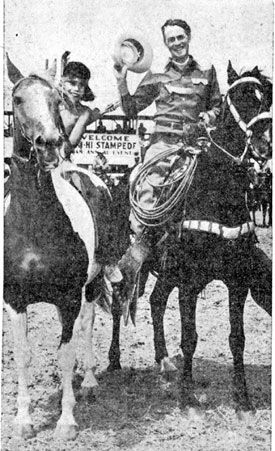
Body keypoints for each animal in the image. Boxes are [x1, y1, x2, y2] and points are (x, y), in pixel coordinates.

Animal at [3, 56, 111, 442]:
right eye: (18, 98)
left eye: (56, 100)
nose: (49, 143)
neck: (35, 227)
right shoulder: (14, 299)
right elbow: (22, 355)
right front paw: (23, 420)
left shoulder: (67, 298)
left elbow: (65, 354)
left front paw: (66, 421)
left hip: (92, 285)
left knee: (87, 324)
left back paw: (90, 382)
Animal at [108, 62, 274, 416]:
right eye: (241, 97)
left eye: (268, 96)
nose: (265, 143)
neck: (217, 197)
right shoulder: (189, 281)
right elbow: (189, 337)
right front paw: (187, 398)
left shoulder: (237, 280)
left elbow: (236, 338)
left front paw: (243, 399)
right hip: (119, 260)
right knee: (118, 301)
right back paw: (114, 360)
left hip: (165, 271)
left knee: (156, 303)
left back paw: (163, 361)